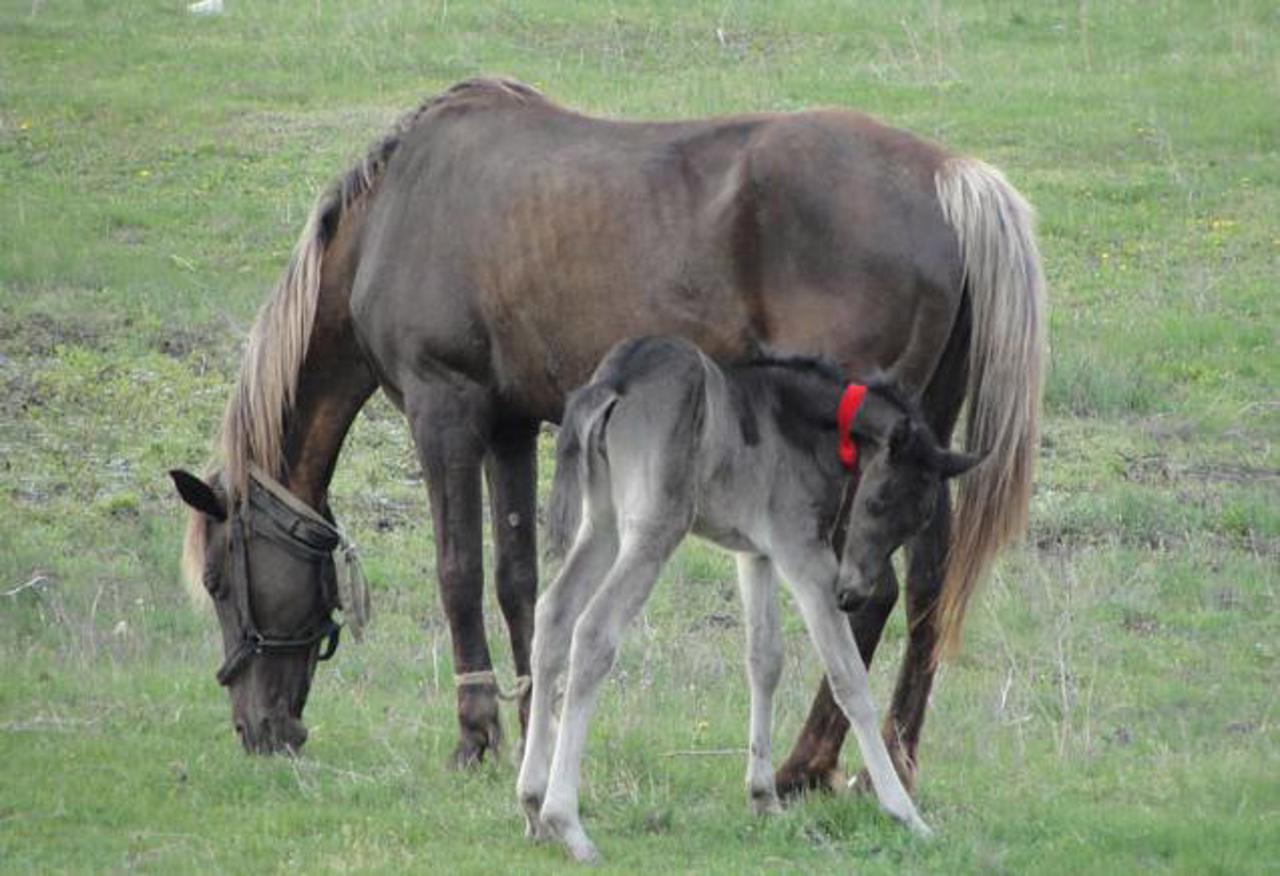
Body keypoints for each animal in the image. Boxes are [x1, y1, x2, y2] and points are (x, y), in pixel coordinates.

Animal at [170, 76, 1044, 788]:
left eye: (217, 581)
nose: (259, 730)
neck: (396, 211)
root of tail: (947, 177)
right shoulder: (510, 425)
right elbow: (517, 579)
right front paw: (536, 723)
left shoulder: (443, 409)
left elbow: (458, 573)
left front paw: (476, 737)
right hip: (919, 448)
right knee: (927, 589)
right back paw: (887, 759)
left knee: (873, 594)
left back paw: (808, 762)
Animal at [519, 335, 977, 860]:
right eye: (878, 502)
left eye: (917, 519)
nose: (852, 594)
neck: (803, 421)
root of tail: (615, 379)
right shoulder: (804, 553)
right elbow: (848, 678)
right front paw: (904, 812)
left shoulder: (755, 552)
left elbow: (765, 659)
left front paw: (763, 798)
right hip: (654, 529)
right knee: (594, 631)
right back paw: (566, 822)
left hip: (602, 524)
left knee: (553, 616)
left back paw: (531, 805)